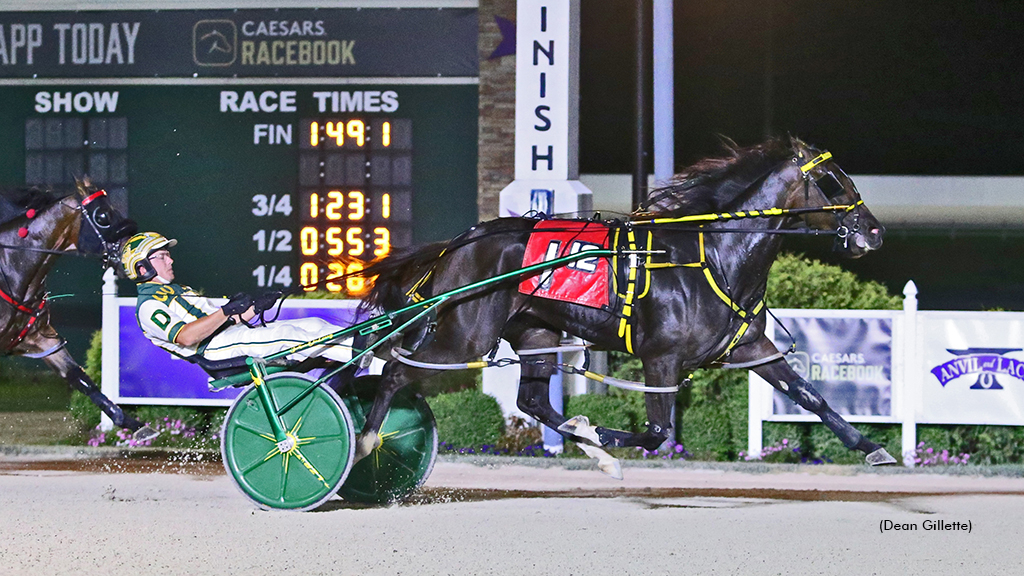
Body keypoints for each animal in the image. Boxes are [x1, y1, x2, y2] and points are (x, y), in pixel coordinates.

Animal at [358, 138, 897, 471]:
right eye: (833, 179)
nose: (874, 231)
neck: (718, 255)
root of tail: (461, 241)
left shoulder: (749, 348)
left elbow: (810, 395)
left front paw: (872, 448)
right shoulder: (662, 358)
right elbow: (657, 432)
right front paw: (605, 435)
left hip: (536, 332)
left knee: (531, 400)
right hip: (464, 335)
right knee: (396, 372)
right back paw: (364, 440)